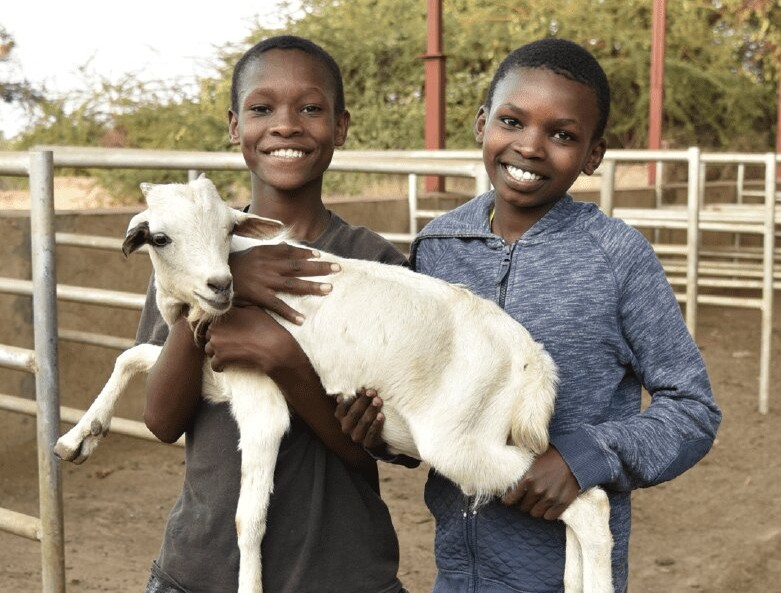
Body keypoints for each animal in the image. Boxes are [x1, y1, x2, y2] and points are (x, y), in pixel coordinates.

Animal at [54, 176, 613, 593]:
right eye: (161, 237)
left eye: (227, 229)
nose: (221, 285)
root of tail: (533, 359)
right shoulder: (213, 375)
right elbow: (132, 356)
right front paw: (78, 438)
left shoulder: (261, 399)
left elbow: (247, 520)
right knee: (570, 503)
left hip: (461, 443)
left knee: (590, 504)